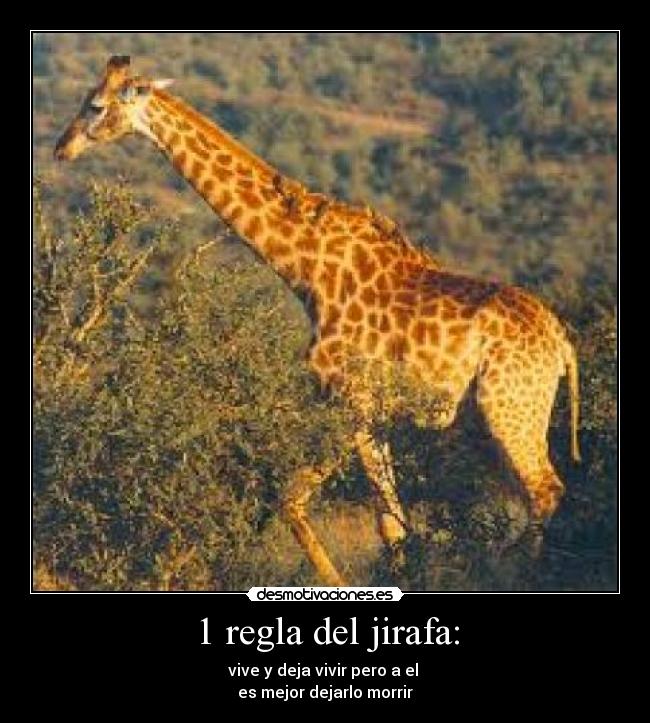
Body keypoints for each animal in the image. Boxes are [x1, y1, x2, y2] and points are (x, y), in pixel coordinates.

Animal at [54, 56, 581, 586]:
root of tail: (562, 346)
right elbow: (390, 522)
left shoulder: (347, 398)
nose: (61, 148)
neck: (306, 271)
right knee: (532, 495)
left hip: (508, 406)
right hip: (494, 416)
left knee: (545, 490)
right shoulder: (370, 410)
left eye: (95, 105)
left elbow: (295, 501)